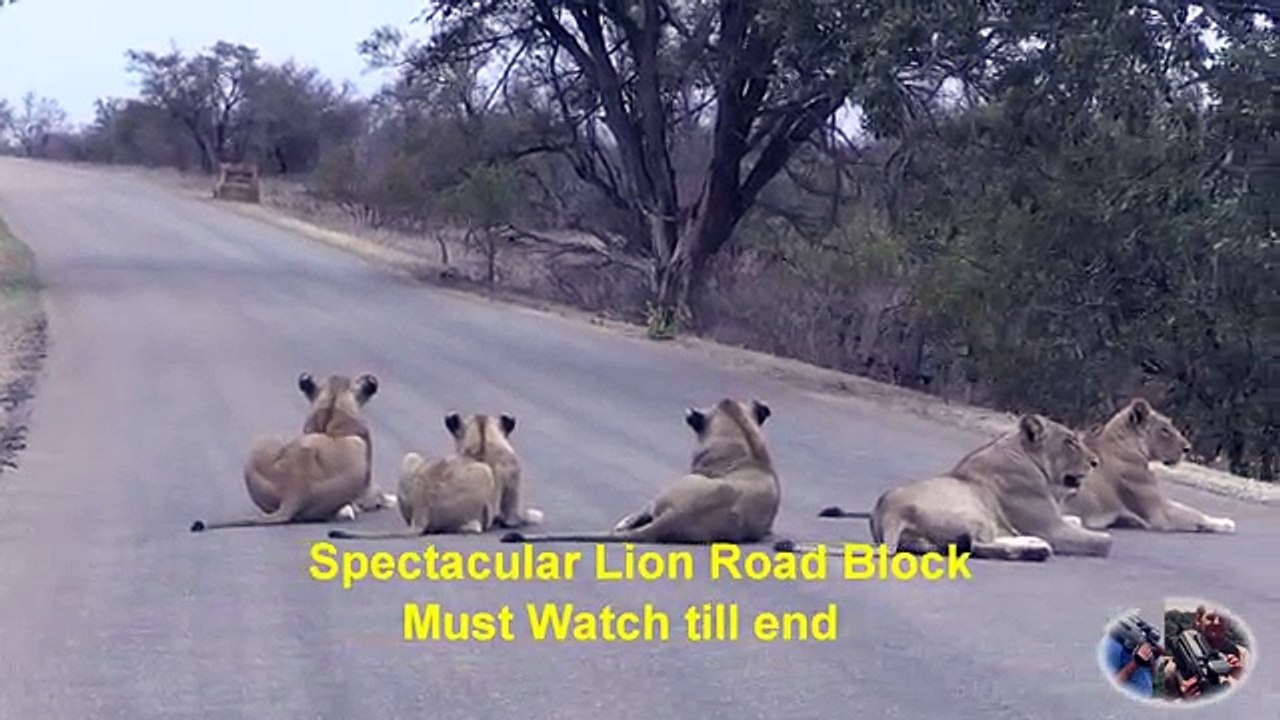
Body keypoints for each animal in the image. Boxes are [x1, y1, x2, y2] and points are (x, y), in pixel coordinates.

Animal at [329, 413, 533, 539]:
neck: (482, 436)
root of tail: (422, 511)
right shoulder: (513, 476)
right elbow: (514, 518)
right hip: (485, 474)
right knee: (473, 526)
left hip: (410, 458)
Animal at [810, 414, 1112, 561]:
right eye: (1070, 442)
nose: (1096, 462)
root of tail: (887, 514)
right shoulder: (1050, 528)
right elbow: (1104, 542)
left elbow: (1076, 519)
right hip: (974, 513)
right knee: (978, 545)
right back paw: (1038, 549)